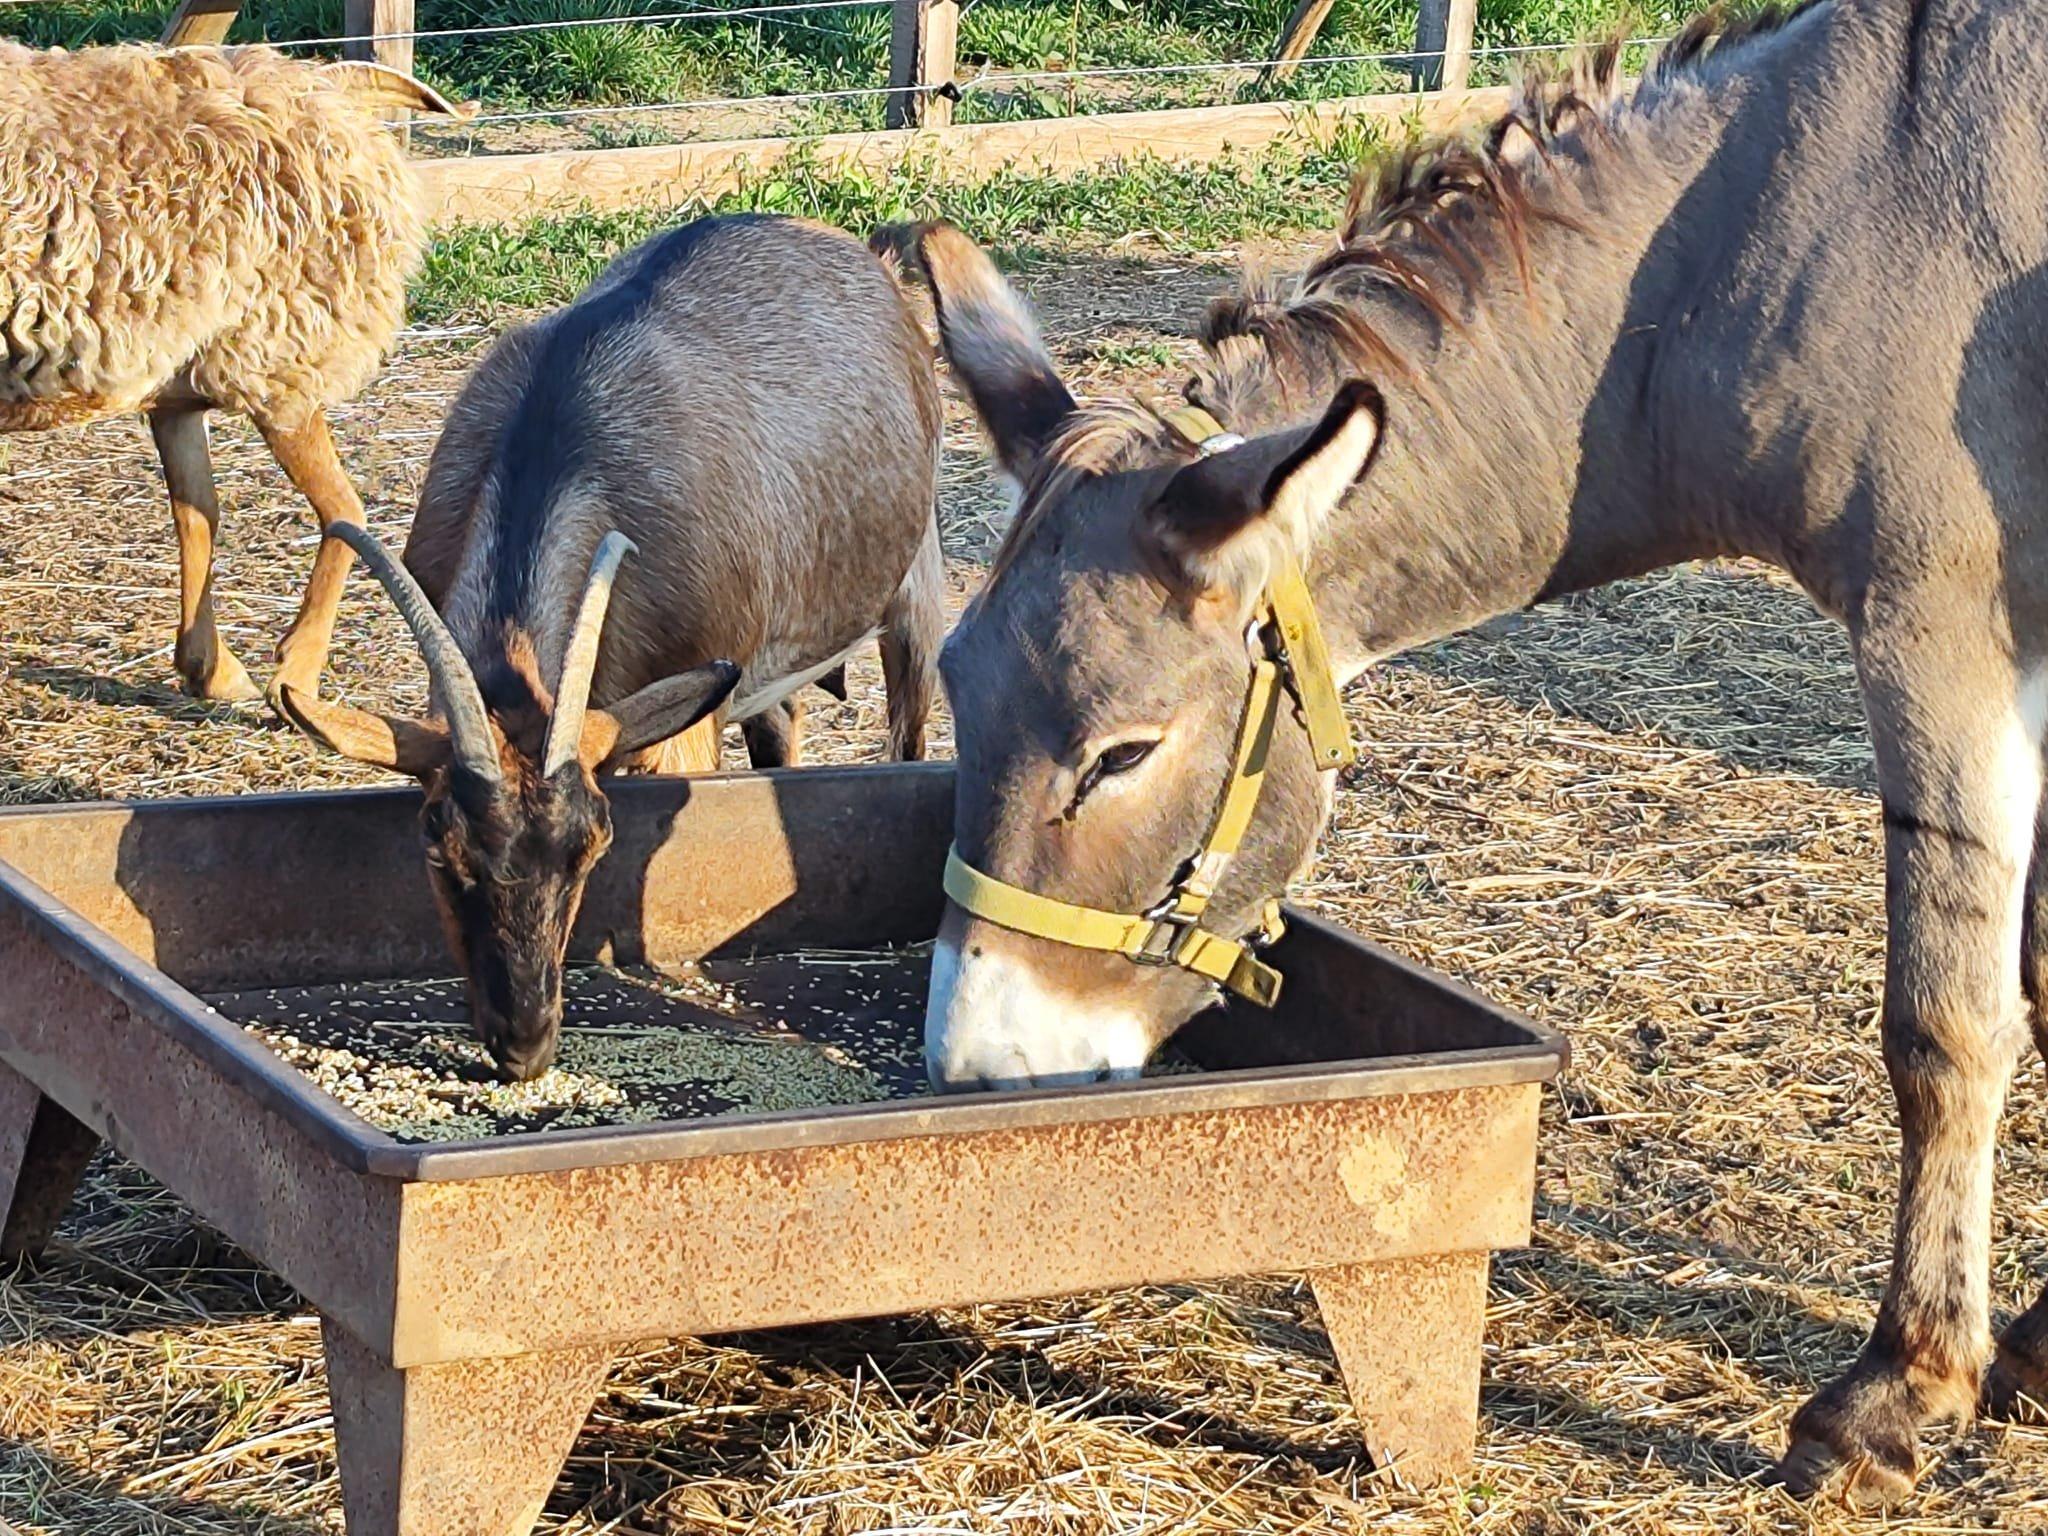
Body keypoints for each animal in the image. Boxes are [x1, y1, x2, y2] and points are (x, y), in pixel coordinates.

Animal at [2, 41, 471, 704]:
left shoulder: (178, 384)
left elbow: (197, 512)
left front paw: (209, 668)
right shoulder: (279, 365)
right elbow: (346, 510)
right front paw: (295, 672)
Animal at [276, 214, 946, 1081]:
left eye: (593, 845)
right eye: (437, 843)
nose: (524, 1043)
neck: (560, 438)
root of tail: (867, 256)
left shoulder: (684, 721)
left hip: (913, 587)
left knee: (909, 725)